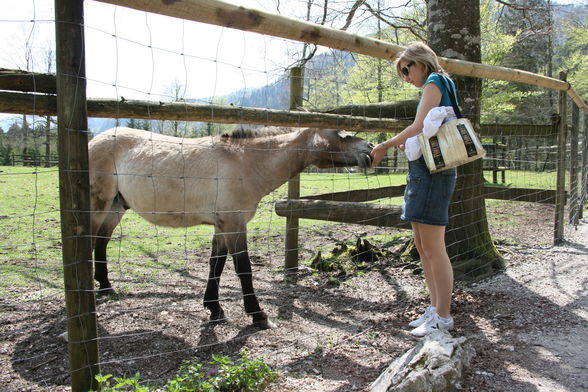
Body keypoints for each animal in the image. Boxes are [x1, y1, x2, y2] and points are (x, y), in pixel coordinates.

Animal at [88, 126, 372, 328]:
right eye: (340, 133)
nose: (369, 148)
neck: (246, 162)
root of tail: (93, 141)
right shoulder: (235, 225)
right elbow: (243, 269)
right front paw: (257, 314)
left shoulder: (222, 226)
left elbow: (216, 265)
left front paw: (214, 309)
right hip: (98, 207)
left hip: (116, 207)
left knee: (101, 242)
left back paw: (106, 286)